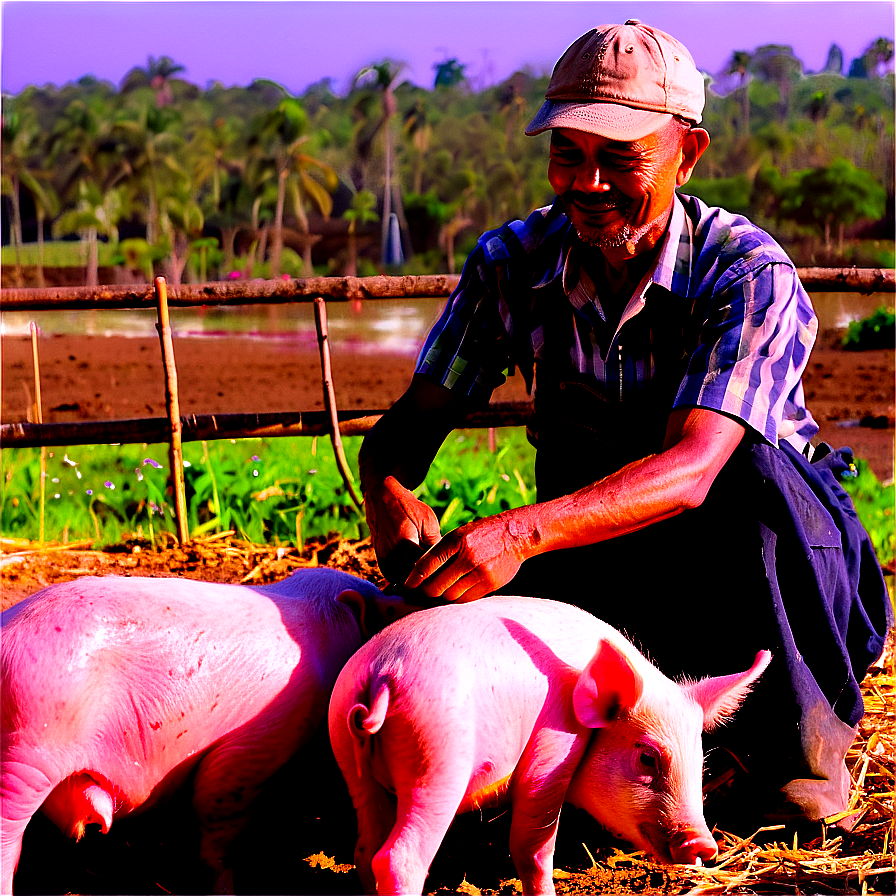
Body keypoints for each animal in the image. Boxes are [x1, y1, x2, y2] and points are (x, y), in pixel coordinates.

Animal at [328, 596, 768, 896]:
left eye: (701, 767)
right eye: (647, 757)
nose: (705, 844)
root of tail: (384, 672)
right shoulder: (555, 746)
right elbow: (532, 848)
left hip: (349, 750)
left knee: (365, 850)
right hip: (438, 757)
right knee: (397, 858)